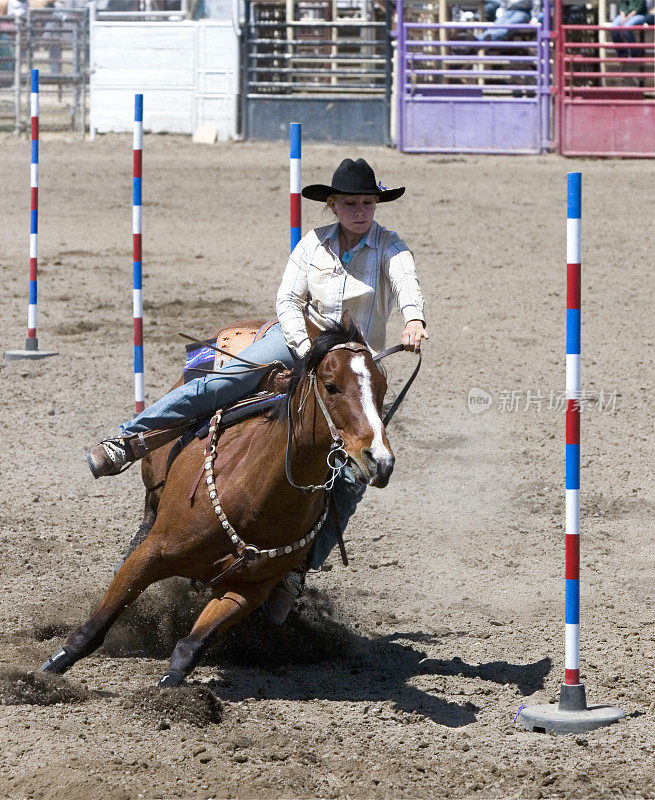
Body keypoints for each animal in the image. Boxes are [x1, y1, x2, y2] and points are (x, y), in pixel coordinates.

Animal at [42, 318, 394, 688]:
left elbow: (191, 646)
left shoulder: (248, 590)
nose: (380, 461)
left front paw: (172, 688)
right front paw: (48, 669)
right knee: (148, 507)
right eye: (331, 386)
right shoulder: (154, 553)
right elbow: (98, 622)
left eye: (383, 389)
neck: (254, 498)